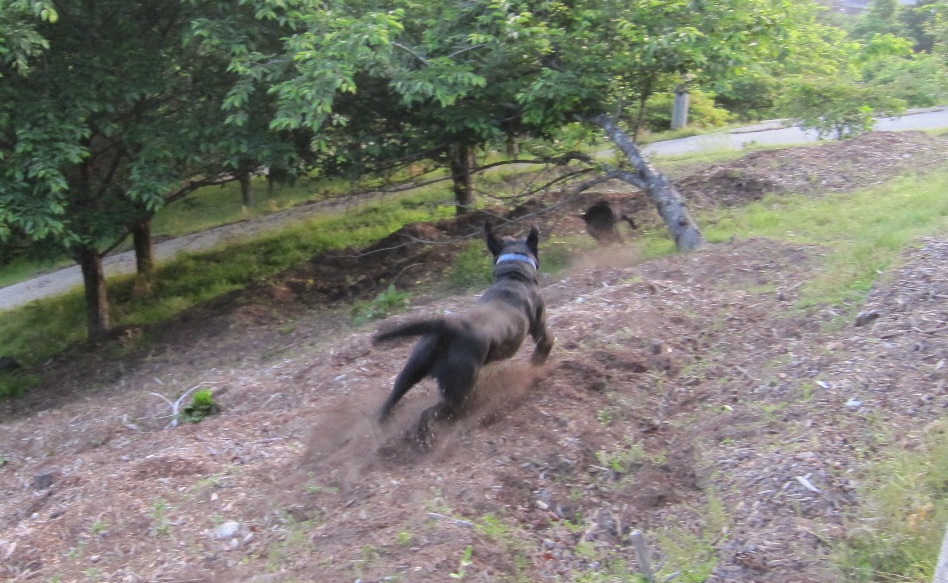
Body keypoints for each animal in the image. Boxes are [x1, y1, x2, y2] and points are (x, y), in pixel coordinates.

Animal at [372, 224, 552, 448]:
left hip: (410, 372)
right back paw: (425, 438)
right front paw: (537, 362)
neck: (513, 275)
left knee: (390, 403)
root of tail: (448, 327)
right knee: (430, 414)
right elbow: (546, 343)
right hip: (457, 390)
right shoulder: (539, 326)